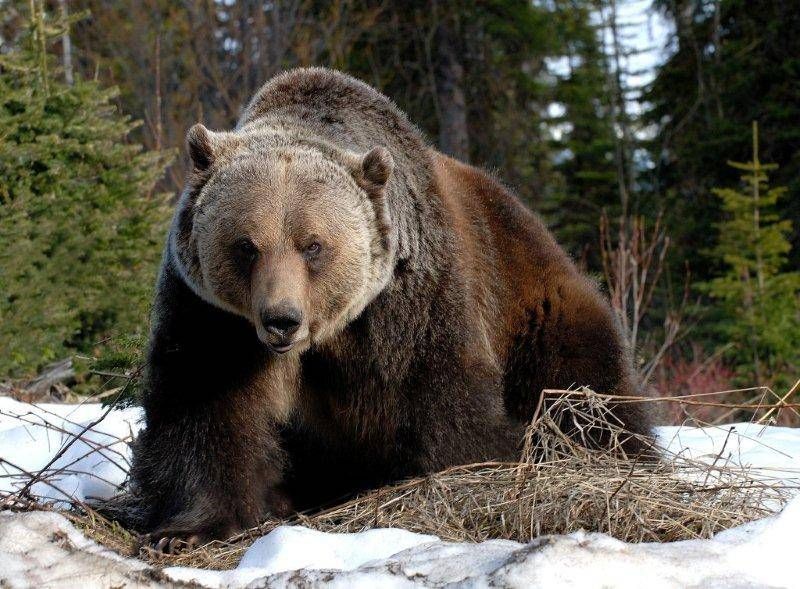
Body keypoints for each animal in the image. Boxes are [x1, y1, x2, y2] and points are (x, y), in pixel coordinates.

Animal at [127, 67, 652, 552]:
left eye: (312, 245)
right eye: (246, 246)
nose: (281, 320)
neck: (325, 334)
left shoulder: (409, 304)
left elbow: (444, 402)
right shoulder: (211, 315)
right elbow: (204, 403)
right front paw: (185, 530)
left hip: (533, 303)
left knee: (582, 387)